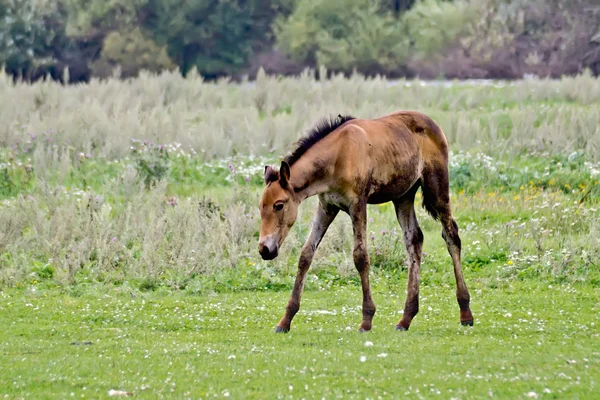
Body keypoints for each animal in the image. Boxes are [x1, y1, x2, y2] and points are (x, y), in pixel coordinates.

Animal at [258, 111, 474, 332]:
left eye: (279, 205)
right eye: (260, 207)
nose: (265, 249)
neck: (337, 156)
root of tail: (433, 124)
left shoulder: (358, 205)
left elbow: (360, 257)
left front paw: (367, 319)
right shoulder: (327, 207)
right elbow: (306, 255)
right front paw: (285, 320)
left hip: (437, 188)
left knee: (451, 236)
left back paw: (465, 312)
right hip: (403, 197)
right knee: (414, 240)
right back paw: (405, 318)